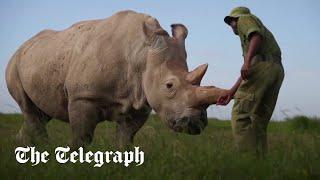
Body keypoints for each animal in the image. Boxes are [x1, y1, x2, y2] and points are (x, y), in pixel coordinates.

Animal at [4, 10, 225, 148]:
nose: (195, 124)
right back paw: (42, 148)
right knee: (30, 110)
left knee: (41, 113)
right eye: (169, 85)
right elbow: (82, 137)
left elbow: (125, 140)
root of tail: (24, 45)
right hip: (15, 62)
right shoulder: (83, 96)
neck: (142, 54)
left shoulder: (140, 103)